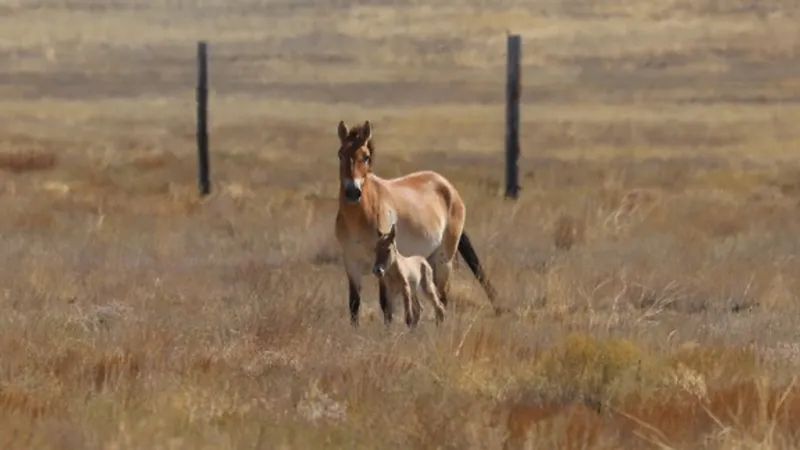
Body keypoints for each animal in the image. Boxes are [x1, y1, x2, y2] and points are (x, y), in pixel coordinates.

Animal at [334, 120, 496, 326]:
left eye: (366, 157)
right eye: (340, 154)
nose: (353, 192)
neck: (360, 217)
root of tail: (448, 187)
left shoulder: (382, 264)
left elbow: (385, 305)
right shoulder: (351, 263)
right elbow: (354, 305)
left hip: (444, 260)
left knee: (441, 298)